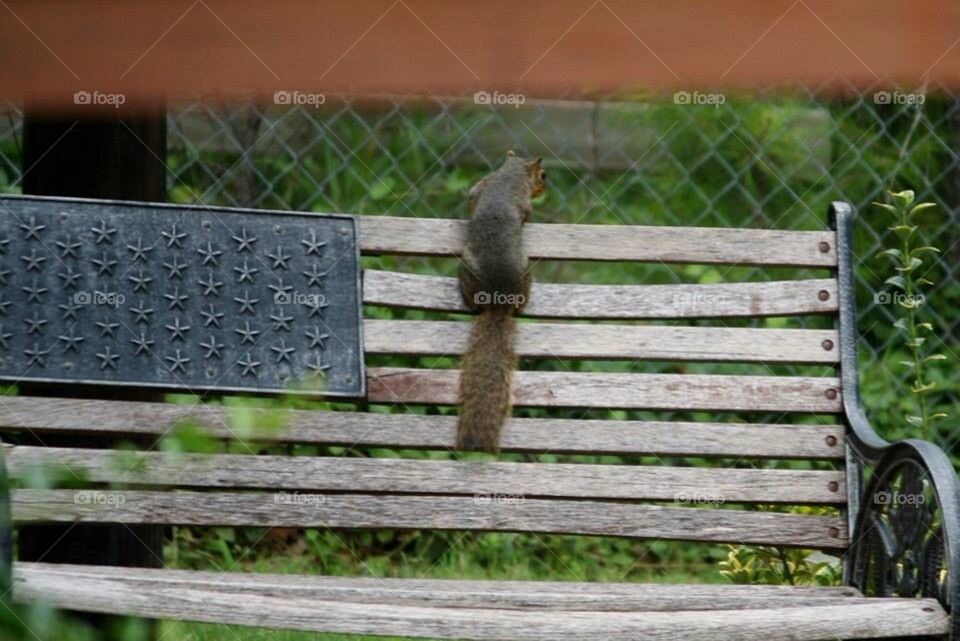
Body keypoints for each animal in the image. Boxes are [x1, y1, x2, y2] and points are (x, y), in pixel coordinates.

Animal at [456, 151, 546, 453]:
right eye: (543, 175)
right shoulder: (521, 200)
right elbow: (527, 213)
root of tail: (499, 301)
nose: (544, 189)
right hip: (525, 270)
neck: (509, 173)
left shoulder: (480, 187)